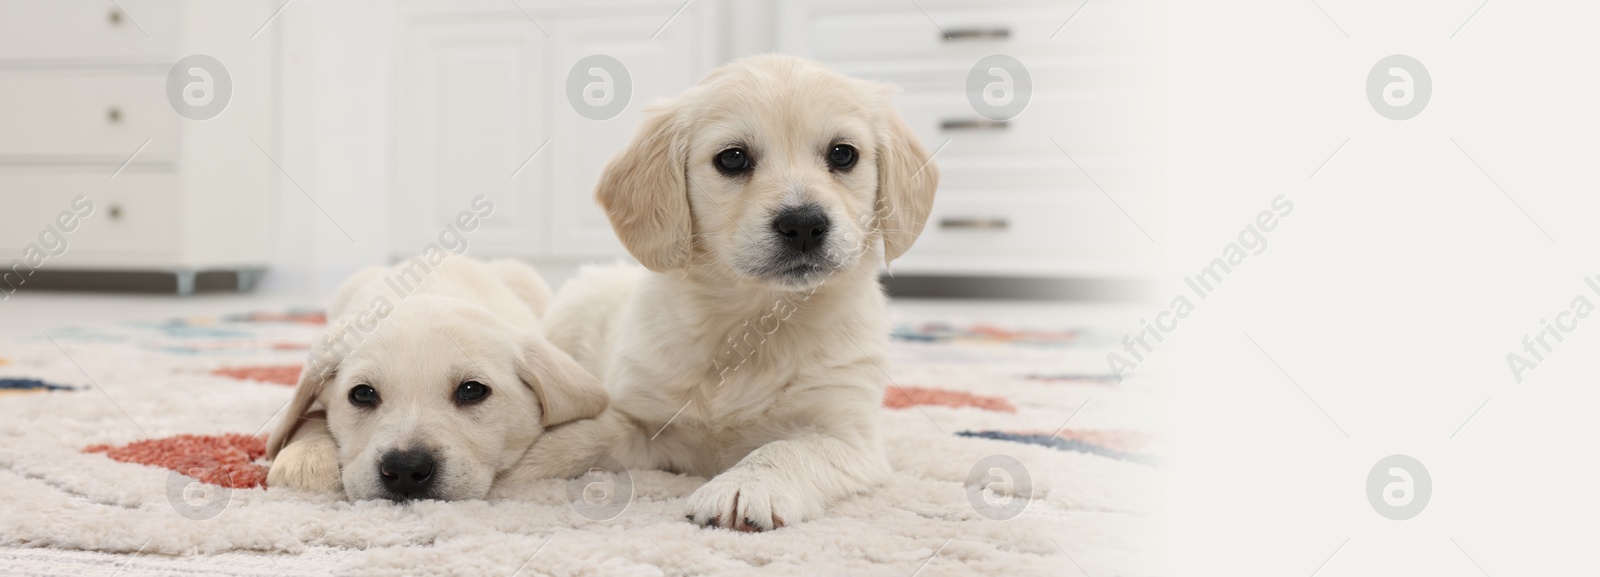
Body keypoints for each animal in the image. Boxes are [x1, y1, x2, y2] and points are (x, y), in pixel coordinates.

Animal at [508, 55, 934, 530]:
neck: (754, 318)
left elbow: (788, 448)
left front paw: (744, 486)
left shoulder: (849, 436)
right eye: (733, 158)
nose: (804, 224)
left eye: (843, 154)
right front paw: (518, 461)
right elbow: (588, 433)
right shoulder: (641, 417)